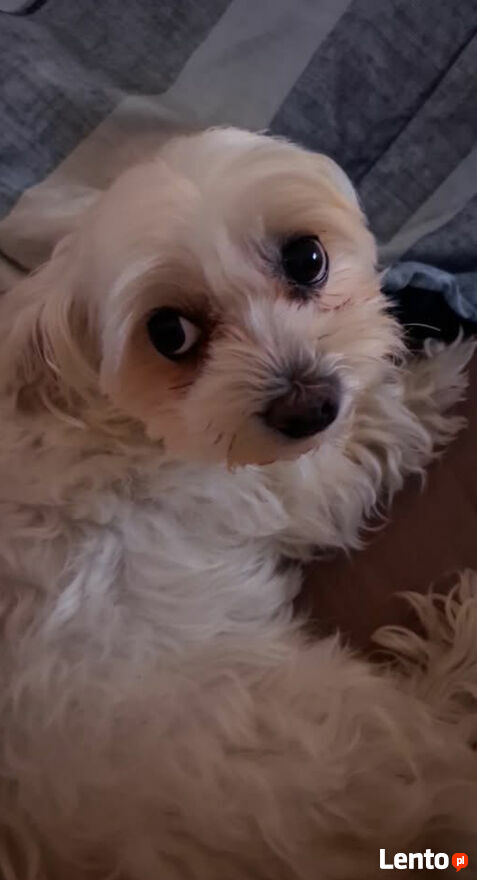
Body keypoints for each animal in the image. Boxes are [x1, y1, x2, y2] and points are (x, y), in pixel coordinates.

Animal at [0, 127, 476, 879]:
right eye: (169, 333)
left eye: (306, 258)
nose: (307, 406)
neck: (95, 412)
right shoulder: (283, 482)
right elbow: (378, 425)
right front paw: (433, 372)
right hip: (345, 739)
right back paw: (459, 648)